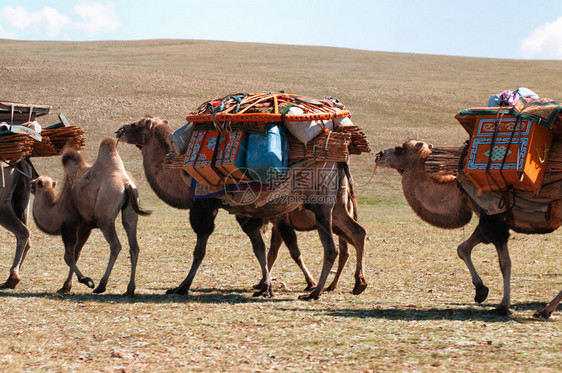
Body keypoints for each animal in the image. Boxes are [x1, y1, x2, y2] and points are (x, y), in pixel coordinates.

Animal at [30, 138, 149, 294]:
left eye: (38, 182)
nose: (30, 183)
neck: (57, 209)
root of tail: (126, 182)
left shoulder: (70, 224)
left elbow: (68, 257)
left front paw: (86, 281)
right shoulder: (85, 226)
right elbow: (76, 254)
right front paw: (66, 286)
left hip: (105, 217)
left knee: (115, 246)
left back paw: (101, 285)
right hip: (130, 212)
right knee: (133, 245)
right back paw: (130, 289)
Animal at [116, 115, 366, 298]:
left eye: (137, 124)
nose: (120, 130)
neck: (182, 175)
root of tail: (340, 156)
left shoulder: (203, 206)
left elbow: (199, 251)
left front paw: (181, 287)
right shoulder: (248, 213)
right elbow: (261, 249)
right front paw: (265, 287)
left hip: (320, 204)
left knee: (332, 248)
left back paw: (315, 293)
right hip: (338, 206)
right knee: (358, 232)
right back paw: (358, 284)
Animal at [374, 140, 556, 316]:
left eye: (400, 148)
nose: (379, 154)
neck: (461, 190)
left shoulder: (494, 217)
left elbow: (505, 263)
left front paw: (503, 305)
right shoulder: (486, 217)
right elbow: (463, 248)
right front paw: (480, 290)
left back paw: (545, 310)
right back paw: (545, 310)